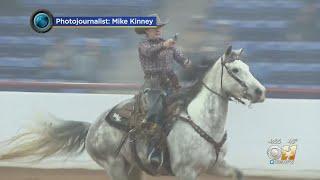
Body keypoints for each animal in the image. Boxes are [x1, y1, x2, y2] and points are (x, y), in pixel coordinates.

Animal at [0, 45, 264, 179]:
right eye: (235, 70)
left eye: (248, 67)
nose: (260, 91)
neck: (203, 121)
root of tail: (93, 126)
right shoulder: (185, 171)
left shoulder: (217, 165)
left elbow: (238, 174)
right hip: (114, 165)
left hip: (134, 166)